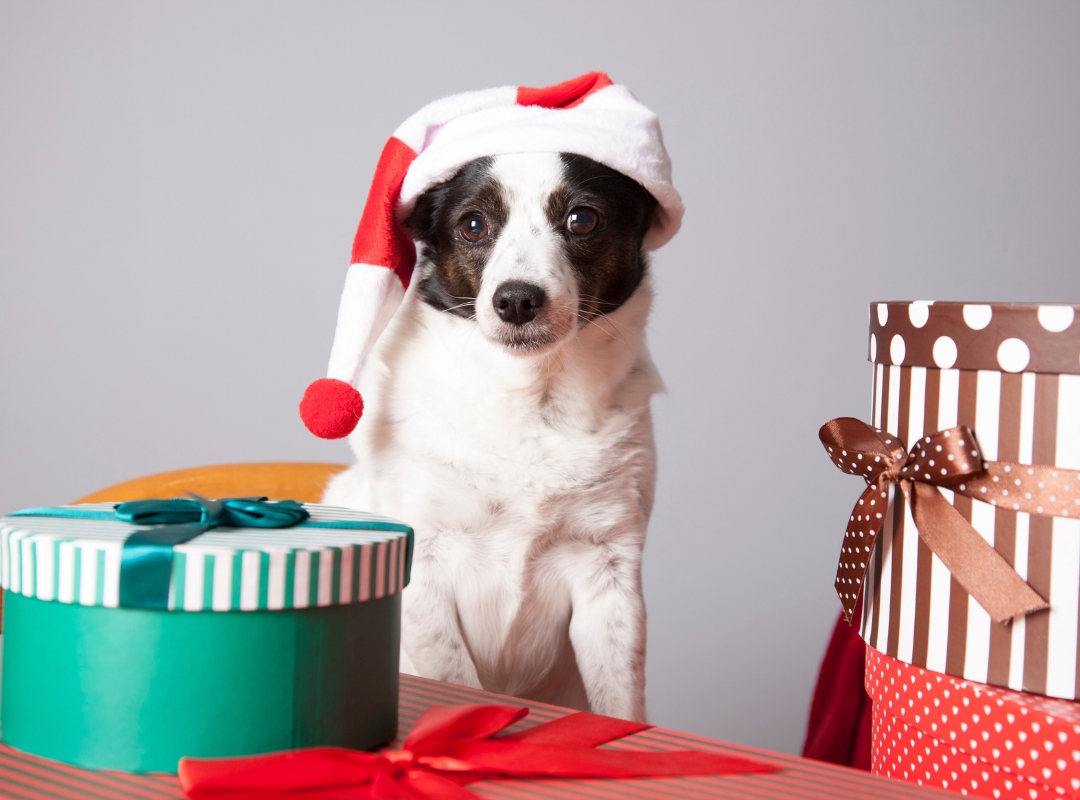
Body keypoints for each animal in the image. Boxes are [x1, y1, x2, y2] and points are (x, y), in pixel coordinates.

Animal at [319, 147, 656, 716]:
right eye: (473, 225)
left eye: (582, 219)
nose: (517, 300)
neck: (526, 396)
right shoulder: (423, 562)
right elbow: (453, 678)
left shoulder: (608, 565)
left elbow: (621, 700)